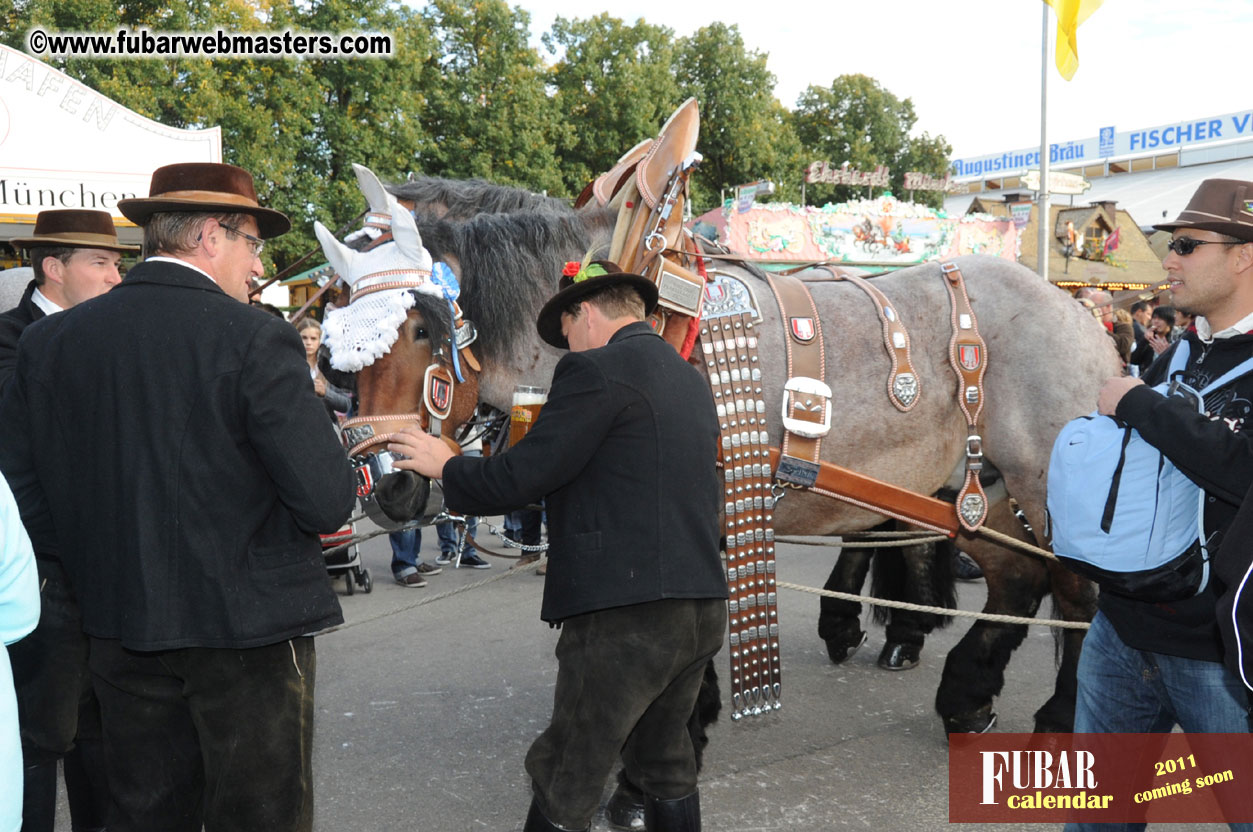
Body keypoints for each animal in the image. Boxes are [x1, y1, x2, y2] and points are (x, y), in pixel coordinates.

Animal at [323, 170, 1117, 736]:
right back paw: (965, 696)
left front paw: (684, 715)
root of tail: (1078, 313)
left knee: (1078, 590)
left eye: (422, 327)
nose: (387, 487)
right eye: (333, 328)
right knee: (1018, 581)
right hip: (972, 489)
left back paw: (1060, 714)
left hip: (1041, 482)